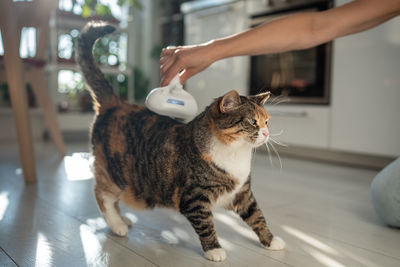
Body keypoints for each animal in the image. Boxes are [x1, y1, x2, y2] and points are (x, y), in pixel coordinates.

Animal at [77, 21, 284, 264]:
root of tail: (115, 103)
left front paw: (271, 241)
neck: (236, 154)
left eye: (267, 121)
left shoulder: (243, 194)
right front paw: (215, 250)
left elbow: (257, 217)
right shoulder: (194, 198)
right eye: (253, 122)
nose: (267, 133)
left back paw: (122, 220)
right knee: (102, 194)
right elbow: (206, 225)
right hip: (114, 172)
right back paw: (118, 225)